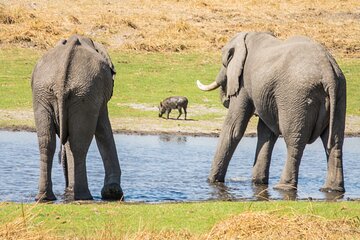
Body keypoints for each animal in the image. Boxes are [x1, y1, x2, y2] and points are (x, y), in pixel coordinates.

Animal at [31, 34, 124, 202]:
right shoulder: (98, 96)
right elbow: (103, 128)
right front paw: (113, 193)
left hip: (50, 93)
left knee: (49, 142)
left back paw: (46, 197)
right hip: (76, 93)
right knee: (78, 143)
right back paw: (81, 196)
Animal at [197, 32, 346, 193]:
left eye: (224, 62)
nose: (225, 98)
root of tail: (328, 71)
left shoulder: (244, 82)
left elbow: (234, 129)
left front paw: (212, 181)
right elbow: (266, 132)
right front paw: (258, 183)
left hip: (297, 97)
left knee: (294, 140)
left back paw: (283, 187)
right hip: (339, 94)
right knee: (335, 140)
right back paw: (332, 189)